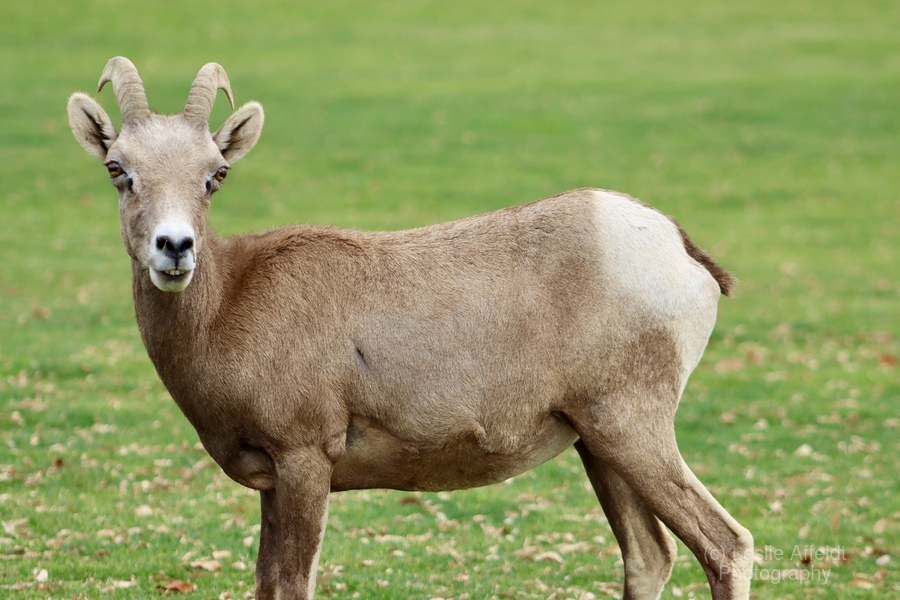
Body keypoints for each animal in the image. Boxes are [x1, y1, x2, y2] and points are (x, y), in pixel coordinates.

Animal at [67, 57, 754, 600]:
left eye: (215, 175)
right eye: (118, 169)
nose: (174, 248)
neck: (228, 308)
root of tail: (679, 248)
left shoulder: (304, 462)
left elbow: (292, 584)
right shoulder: (272, 483)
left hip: (632, 428)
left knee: (726, 546)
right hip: (600, 444)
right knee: (648, 557)